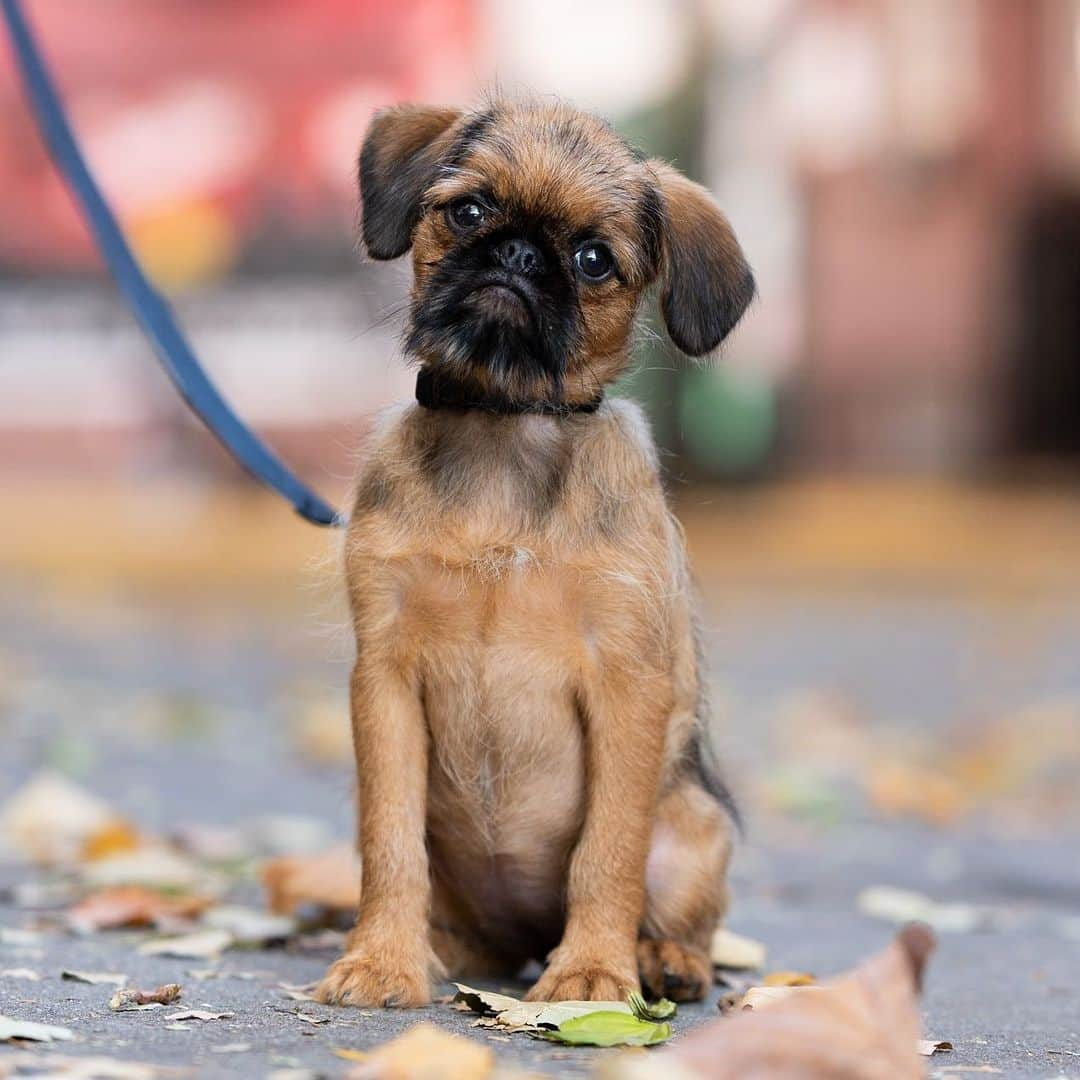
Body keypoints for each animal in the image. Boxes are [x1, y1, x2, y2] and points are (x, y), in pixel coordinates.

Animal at [315, 97, 756, 1006]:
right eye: (469, 212)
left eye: (592, 260)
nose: (517, 254)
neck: (505, 423)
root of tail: (519, 939)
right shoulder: (384, 678)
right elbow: (390, 841)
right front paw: (381, 959)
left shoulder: (626, 684)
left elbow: (609, 850)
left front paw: (592, 973)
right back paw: (439, 948)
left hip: (695, 825)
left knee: (680, 910)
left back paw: (660, 959)